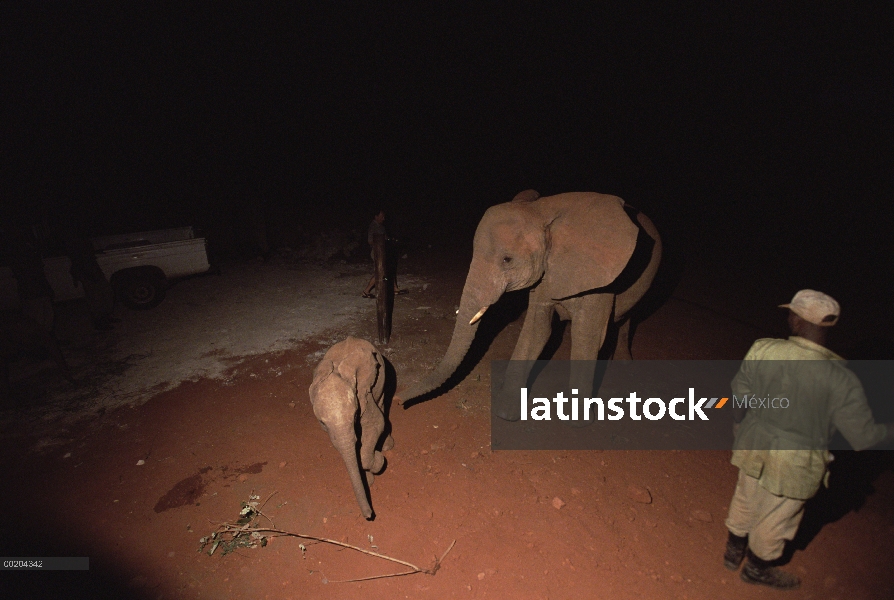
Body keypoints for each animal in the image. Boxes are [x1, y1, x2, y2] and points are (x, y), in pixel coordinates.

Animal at [310, 338, 394, 520]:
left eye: (355, 415)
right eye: (322, 423)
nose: (369, 516)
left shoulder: (362, 395)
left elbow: (377, 424)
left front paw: (379, 460)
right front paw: (368, 480)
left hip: (382, 375)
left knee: (382, 403)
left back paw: (386, 446)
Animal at [402, 190, 660, 420]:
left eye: (507, 260)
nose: (400, 401)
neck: (542, 211)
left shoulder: (600, 278)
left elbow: (586, 335)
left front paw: (578, 420)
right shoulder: (546, 271)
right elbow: (537, 330)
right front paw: (505, 413)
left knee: (627, 321)